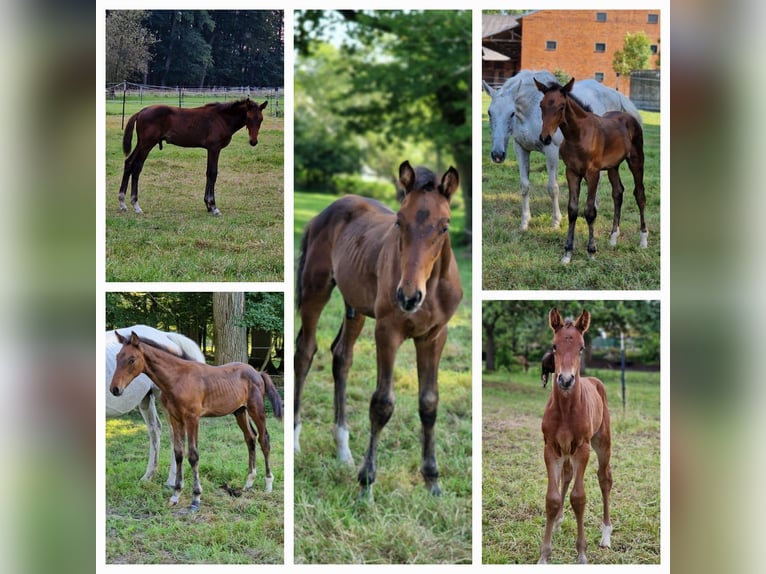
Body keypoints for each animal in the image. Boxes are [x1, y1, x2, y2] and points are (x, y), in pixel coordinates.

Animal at [106, 326, 207, 488]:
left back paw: (172, 481)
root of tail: (165, 334)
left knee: (173, 434)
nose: (115, 389)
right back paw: (148, 476)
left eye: (132, 360)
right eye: (116, 358)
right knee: (155, 430)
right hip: (146, 398)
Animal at [486, 67, 640, 230]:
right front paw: (524, 222)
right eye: (489, 113)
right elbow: (524, 186)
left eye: (512, 113)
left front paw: (556, 222)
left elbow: (552, 188)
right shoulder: (521, 149)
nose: (497, 154)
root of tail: (615, 94)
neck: (531, 111)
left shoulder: (551, 151)